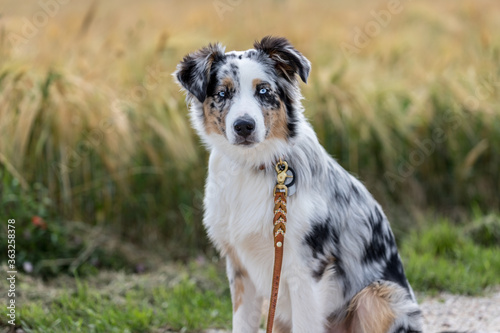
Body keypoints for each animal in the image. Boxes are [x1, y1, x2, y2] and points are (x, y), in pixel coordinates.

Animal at [174, 36, 424, 332]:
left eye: (264, 91)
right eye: (223, 94)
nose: (244, 126)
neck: (254, 166)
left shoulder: (307, 270)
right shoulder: (240, 269)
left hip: (377, 295)